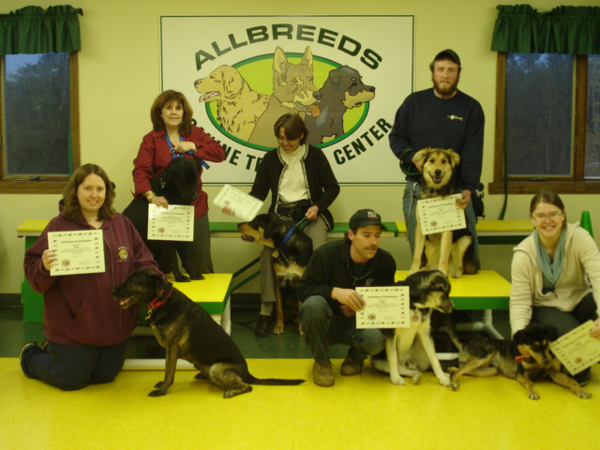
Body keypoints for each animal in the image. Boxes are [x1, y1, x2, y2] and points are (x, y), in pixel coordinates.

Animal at [446, 322, 592, 400]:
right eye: (534, 347)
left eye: (547, 345)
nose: (546, 361)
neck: (535, 360)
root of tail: (466, 343)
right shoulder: (521, 373)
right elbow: (529, 382)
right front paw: (533, 392)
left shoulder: (554, 373)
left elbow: (571, 380)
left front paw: (581, 391)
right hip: (485, 354)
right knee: (460, 371)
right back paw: (453, 382)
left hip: (490, 369)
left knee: (461, 369)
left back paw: (450, 371)